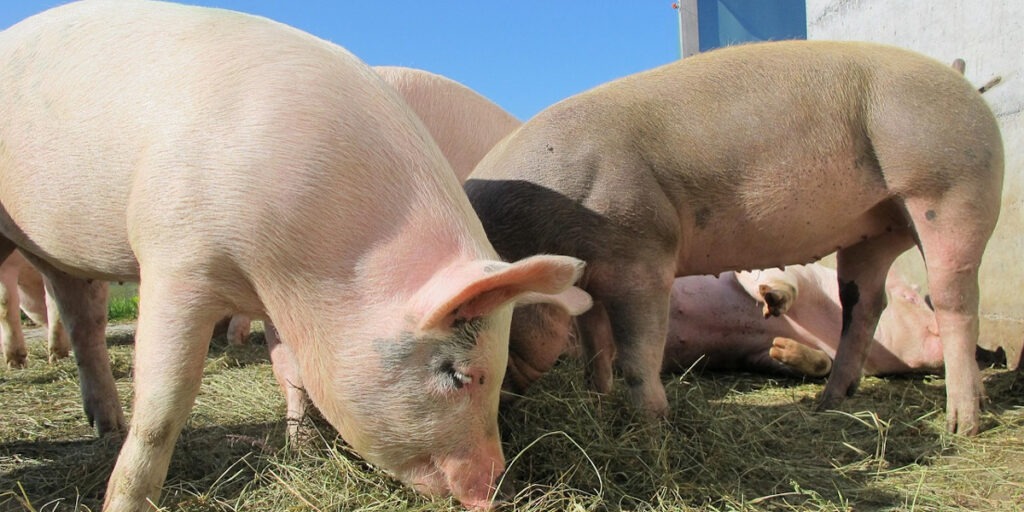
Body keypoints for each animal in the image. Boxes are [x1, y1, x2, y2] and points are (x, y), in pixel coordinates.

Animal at [466, 40, 1004, 435]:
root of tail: (966, 86)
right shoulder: (594, 277)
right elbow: (596, 347)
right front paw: (598, 404)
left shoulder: (640, 254)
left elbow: (638, 351)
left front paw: (652, 427)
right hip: (876, 229)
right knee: (864, 305)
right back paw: (828, 403)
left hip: (950, 189)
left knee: (957, 301)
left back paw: (962, 425)